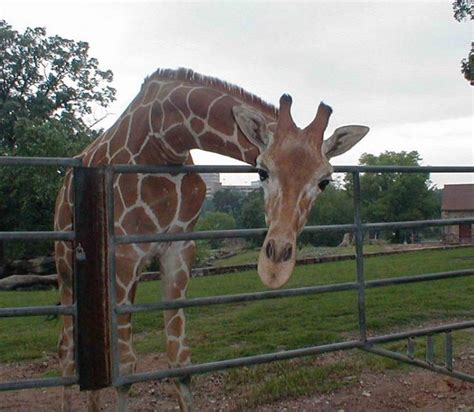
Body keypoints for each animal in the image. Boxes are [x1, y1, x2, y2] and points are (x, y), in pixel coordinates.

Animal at [53, 67, 368, 408]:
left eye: (324, 181)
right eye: (262, 171)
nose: (274, 268)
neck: (166, 139)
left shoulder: (178, 251)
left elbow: (180, 361)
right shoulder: (125, 254)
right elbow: (125, 370)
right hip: (67, 267)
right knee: (67, 351)